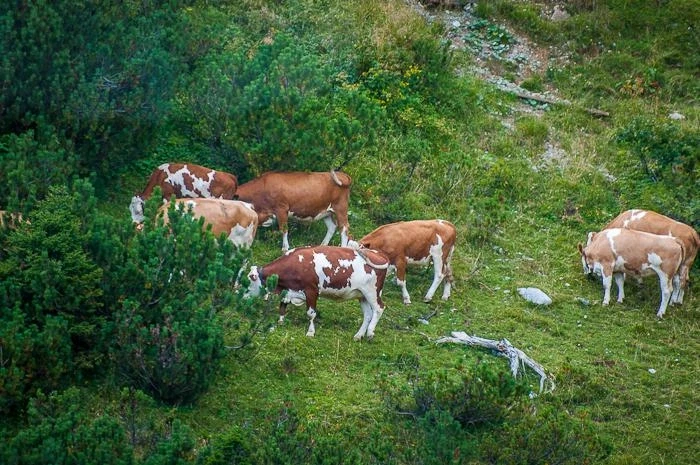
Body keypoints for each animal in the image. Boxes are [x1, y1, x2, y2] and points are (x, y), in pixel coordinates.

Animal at [244, 245, 390, 340]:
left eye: (249, 281)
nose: (242, 296)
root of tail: (378, 253)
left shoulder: (312, 290)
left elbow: (311, 313)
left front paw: (310, 332)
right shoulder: (290, 290)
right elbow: (282, 304)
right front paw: (280, 320)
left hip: (372, 292)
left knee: (379, 308)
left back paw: (370, 332)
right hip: (361, 295)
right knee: (368, 314)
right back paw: (358, 335)